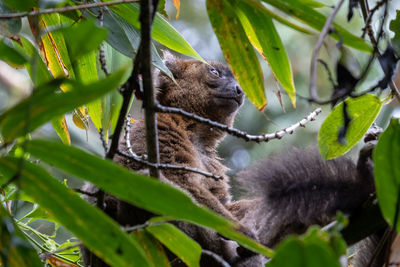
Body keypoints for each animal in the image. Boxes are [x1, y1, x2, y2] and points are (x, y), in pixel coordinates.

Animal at [82, 52, 384, 267]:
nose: (239, 89)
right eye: (215, 73)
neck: (194, 130)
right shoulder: (156, 130)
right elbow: (176, 181)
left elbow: (230, 203)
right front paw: (240, 232)